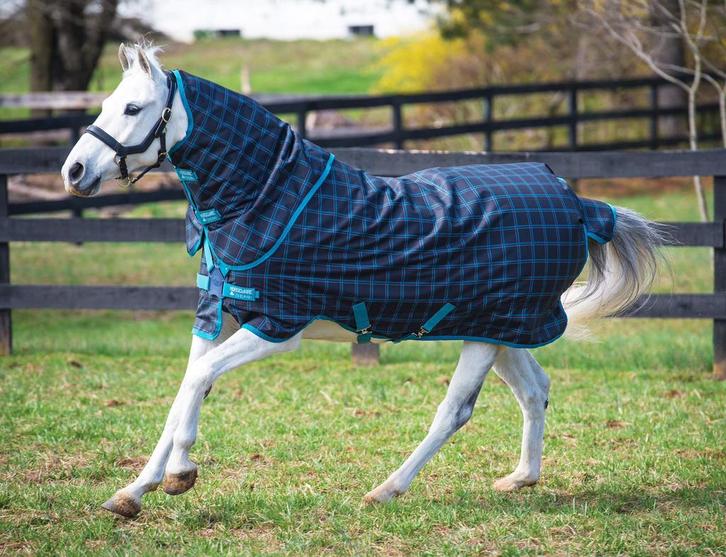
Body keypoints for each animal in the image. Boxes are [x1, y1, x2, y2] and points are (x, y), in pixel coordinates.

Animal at [61, 44, 663, 518]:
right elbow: (187, 388)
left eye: (133, 108)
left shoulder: (279, 325)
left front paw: (181, 474)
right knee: (535, 390)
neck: (268, 198)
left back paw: (386, 490)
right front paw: (133, 493)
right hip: (500, 331)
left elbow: (199, 380)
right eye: (106, 104)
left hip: (489, 333)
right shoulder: (221, 313)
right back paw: (519, 479)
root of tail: (578, 204)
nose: (74, 172)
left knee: (456, 411)